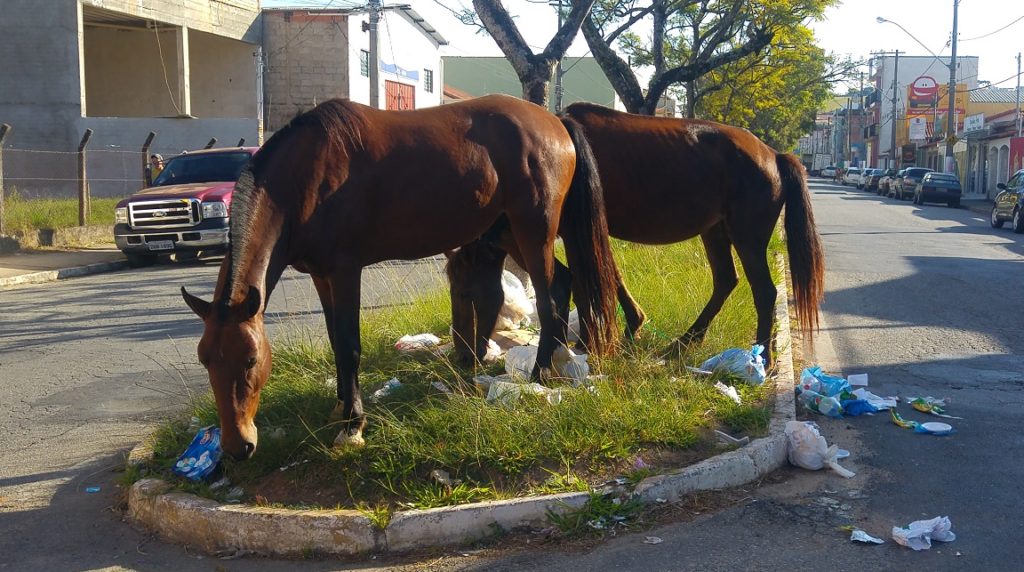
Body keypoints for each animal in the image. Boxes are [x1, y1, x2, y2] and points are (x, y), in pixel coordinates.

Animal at [180, 94, 618, 460]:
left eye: (252, 359)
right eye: (204, 359)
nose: (237, 446)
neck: (303, 177)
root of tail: (555, 121)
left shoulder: (345, 270)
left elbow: (348, 346)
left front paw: (353, 425)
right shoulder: (321, 275)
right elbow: (335, 339)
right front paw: (340, 406)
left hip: (532, 230)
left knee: (547, 299)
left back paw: (541, 372)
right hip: (510, 231)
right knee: (559, 284)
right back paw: (556, 359)